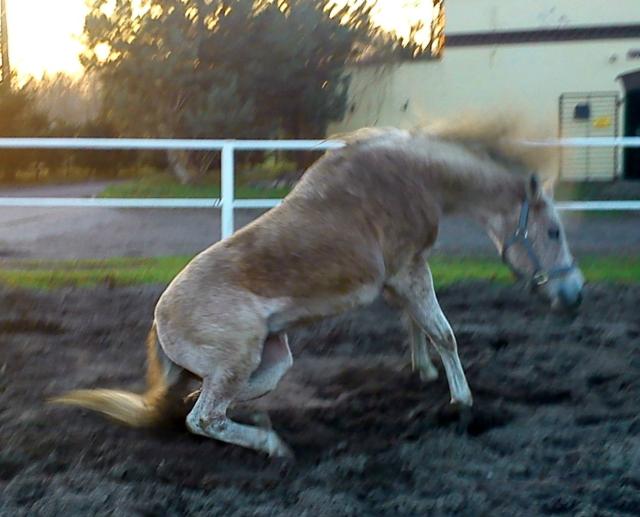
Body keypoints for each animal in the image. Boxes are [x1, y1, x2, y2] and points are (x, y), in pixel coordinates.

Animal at [52, 117, 584, 456]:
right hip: (238, 360)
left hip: (273, 359)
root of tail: (160, 320)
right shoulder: (408, 268)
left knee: (201, 404)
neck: (413, 175)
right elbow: (444, 333)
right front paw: (463, 403)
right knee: (201, 416)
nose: (575, 295)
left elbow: (415, 324)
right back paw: (271, 445)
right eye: (555, 232)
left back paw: (258, 423)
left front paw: (424, 372)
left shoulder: (400, 275)